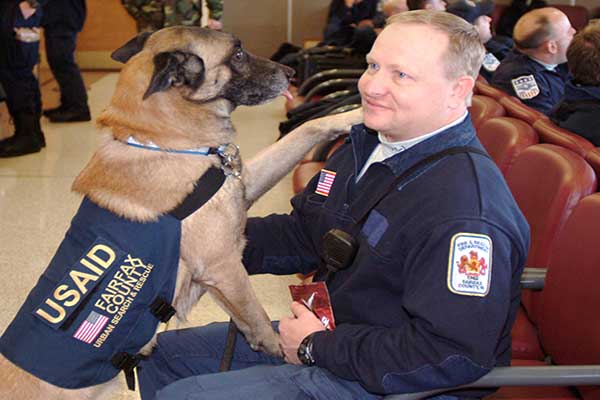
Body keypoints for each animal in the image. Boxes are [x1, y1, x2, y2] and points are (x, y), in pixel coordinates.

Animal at [0, 26, 360, 398]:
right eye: (238, 53)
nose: (290, 72)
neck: (166, 139)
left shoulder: (242, 192)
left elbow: (306, 129)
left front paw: (353, 115)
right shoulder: (224, 268)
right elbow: (256, 314)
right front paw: (281, 346)